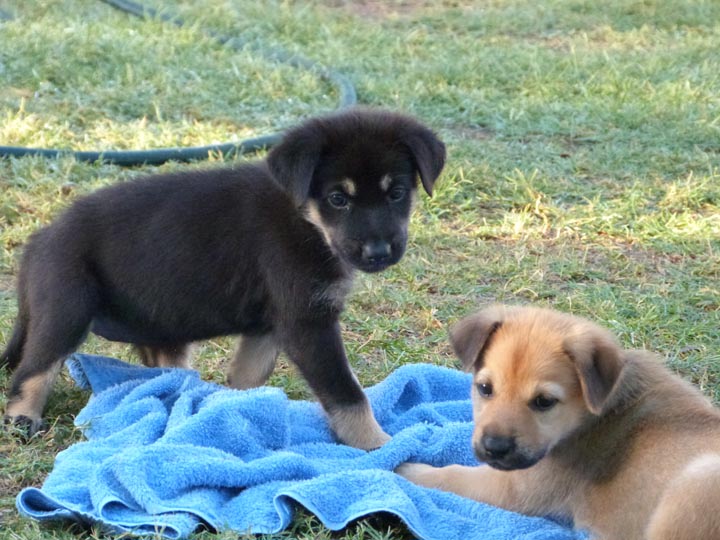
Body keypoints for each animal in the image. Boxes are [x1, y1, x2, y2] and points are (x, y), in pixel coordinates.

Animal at [1, 108, 444, 448]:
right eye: (338, 199)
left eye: (396, 193)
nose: (379, 253)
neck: (306, 220)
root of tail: (39, 241)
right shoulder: (308, 322)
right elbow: (347, 393)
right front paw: (379, 446)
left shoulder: (272, 322)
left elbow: (248, 377)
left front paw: (235, 414)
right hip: (67, 308)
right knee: (31, 371)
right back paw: (23, 420)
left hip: (158, 331)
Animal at [396, 306, 720, 536]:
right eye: (485, 388)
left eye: (544, 402)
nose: (494, 448)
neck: (596, 413)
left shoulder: (515, 488)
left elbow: (450, 475)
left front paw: (404, 467)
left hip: (697, 485)